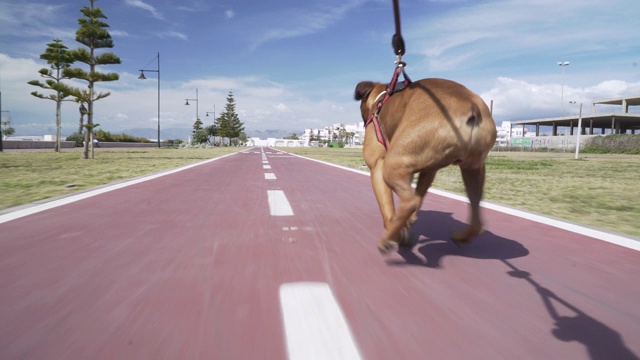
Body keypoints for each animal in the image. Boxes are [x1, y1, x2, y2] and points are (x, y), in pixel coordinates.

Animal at [356, 79, 496, 253]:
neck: (381, 98)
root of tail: (471, 106)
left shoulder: (377, 167)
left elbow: (388, 208)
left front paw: (395, 230)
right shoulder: (428, 170)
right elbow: (418, 195)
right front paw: (407, 224)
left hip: (392, 165)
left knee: (409, 203)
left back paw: (388, 239)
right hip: (473, 170)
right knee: (476, 218)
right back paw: (461, 236)